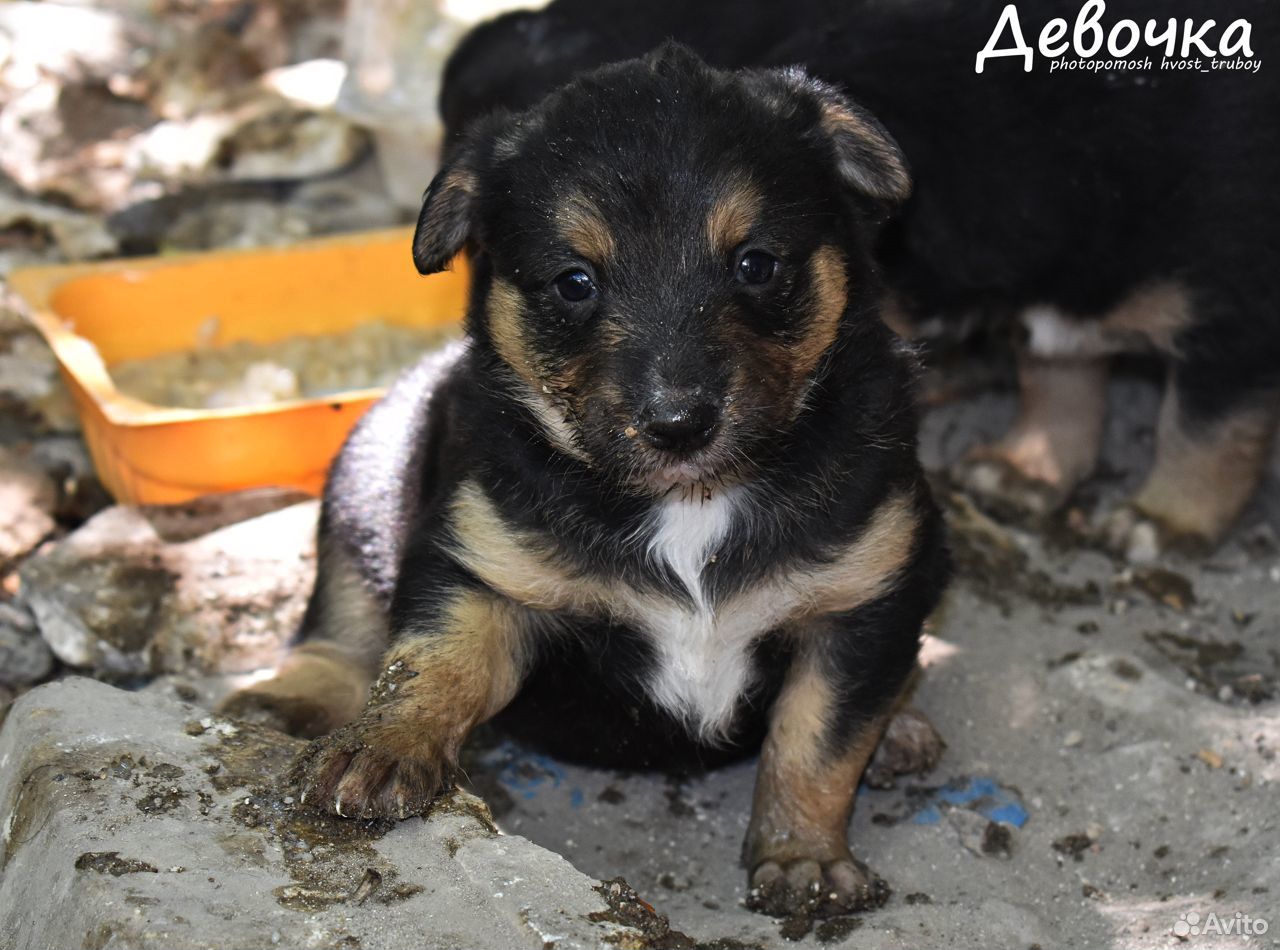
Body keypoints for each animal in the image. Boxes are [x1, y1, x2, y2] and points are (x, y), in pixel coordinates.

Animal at [440, 0, 1280, 558]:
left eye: (760, 265)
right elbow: (1061, 373)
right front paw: (1031, 466)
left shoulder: (1237, 311)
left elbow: (1202, 429)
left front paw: (1165, 519)